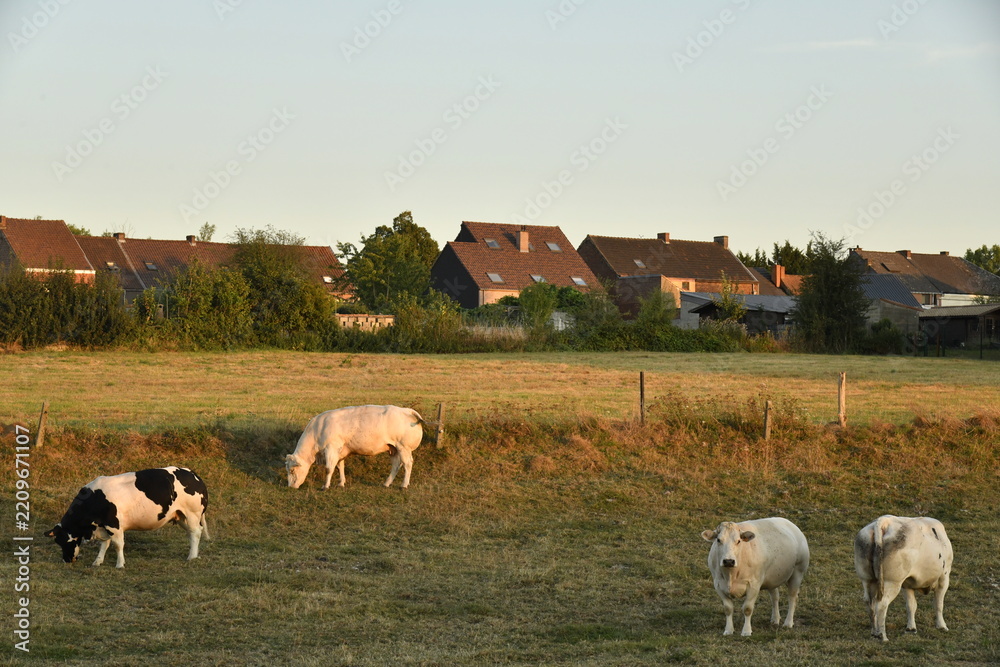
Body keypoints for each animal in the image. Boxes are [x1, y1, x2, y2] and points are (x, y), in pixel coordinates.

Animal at [47, 467, 209, 569]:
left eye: (62, 541)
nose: (66, 560)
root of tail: (194, 475)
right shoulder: (104, 526)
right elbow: (104, 544)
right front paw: (98, 561)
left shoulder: (114, 525)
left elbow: (118, 545)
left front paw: (120, 564)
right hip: (181, 516)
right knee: (192, 533)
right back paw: (194, 554)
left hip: (192, 513)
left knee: (195, 532)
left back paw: (192, 557)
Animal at [285, 405, 425, 490]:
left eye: (291, 470)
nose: (290, 486)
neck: (317, 430)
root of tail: (407, 410)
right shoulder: (340, 451)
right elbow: (340, 467)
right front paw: (341, 483)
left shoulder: (331, 449)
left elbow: (329, 469)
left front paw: (325, 486)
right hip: (393, 449)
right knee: (396, 465)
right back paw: (386, 483)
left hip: (403, 447)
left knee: (407, 464)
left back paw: (403, 485)